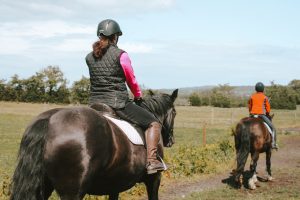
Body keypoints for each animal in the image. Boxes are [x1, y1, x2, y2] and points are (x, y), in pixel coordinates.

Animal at [9, 89, 178, 200]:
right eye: (175, 113)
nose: (171, 141)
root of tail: (49, 119)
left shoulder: (115, 184)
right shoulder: (154, 179)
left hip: (44, 187)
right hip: (72, 193)